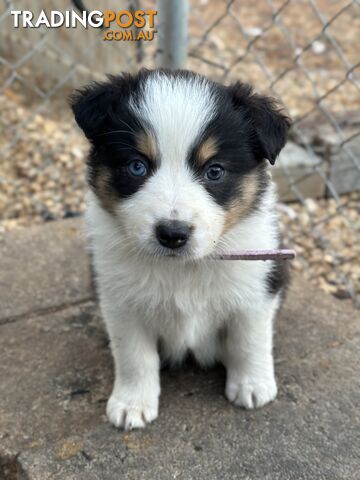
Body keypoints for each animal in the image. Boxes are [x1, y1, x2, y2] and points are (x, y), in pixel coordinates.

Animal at [71, 68, 292, 432]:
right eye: (137, 166)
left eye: (214, 171)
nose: (172, 234)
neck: (183, 269)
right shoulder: (119, 301)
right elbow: (134, 355)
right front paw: (132, 404)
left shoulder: (258, 287)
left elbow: (249, 340)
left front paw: (252, 386)